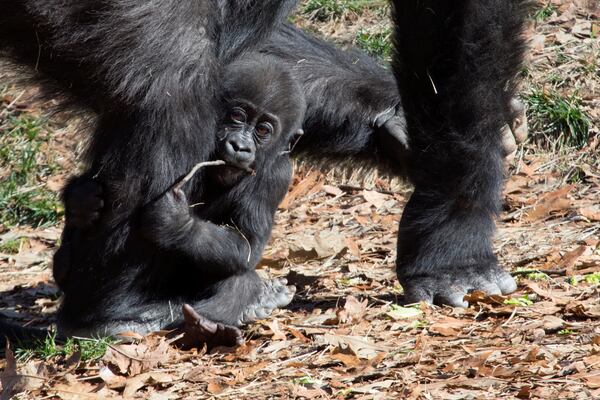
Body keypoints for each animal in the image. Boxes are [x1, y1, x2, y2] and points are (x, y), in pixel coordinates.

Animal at [52, 55, 304, 346]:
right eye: (237, 116)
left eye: (263, 130)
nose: (240, 146)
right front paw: (81, 198)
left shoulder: (277, 175)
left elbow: (247, 243)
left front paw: (177, 223)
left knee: (239, 283)